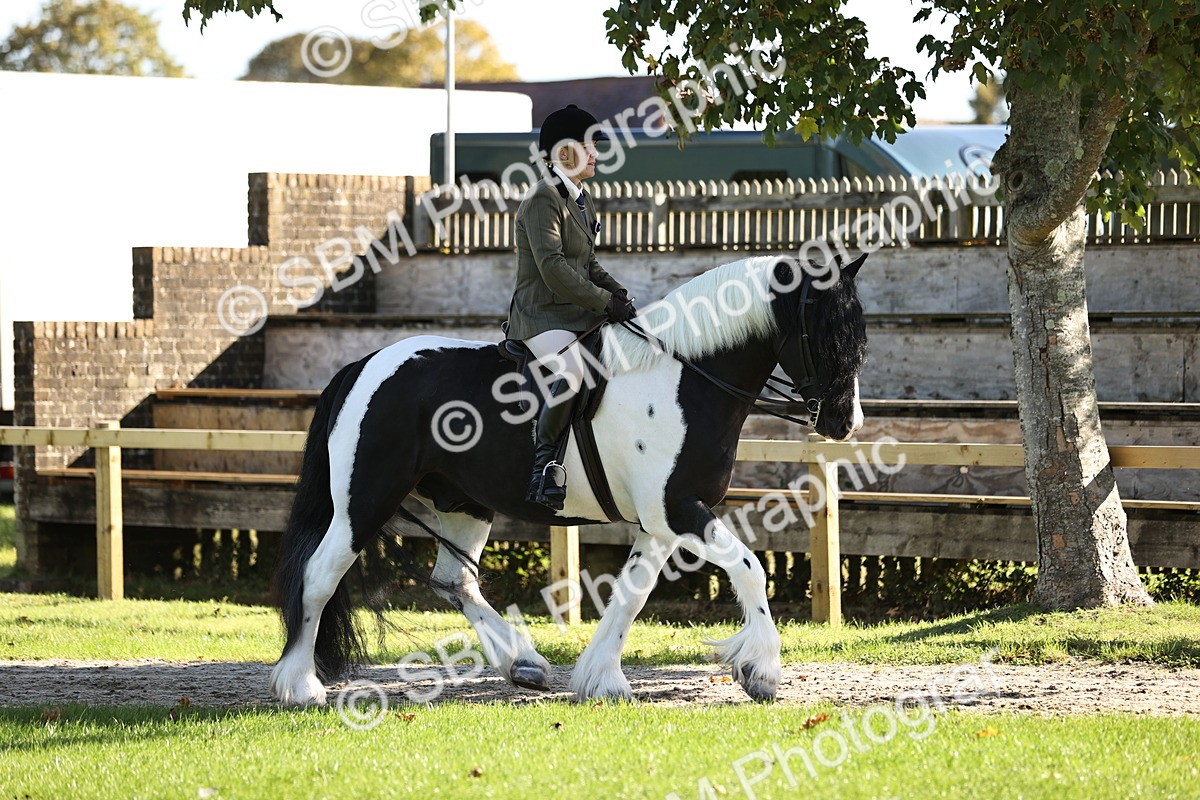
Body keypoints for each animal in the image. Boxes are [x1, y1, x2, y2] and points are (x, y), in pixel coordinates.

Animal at [269, 253, 868, 705]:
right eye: (828, 337)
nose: (846, 423)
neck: (682, 376)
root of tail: (363, 365)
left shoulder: (660, 522)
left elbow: (631, 594)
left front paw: (602, 678)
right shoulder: (678, 510)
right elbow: (749, 568)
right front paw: (761, 672)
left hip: (463, 503)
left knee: (454, 582)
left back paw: (524, 663)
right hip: (364, 501)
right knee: (318, 577)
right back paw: (300, 687)